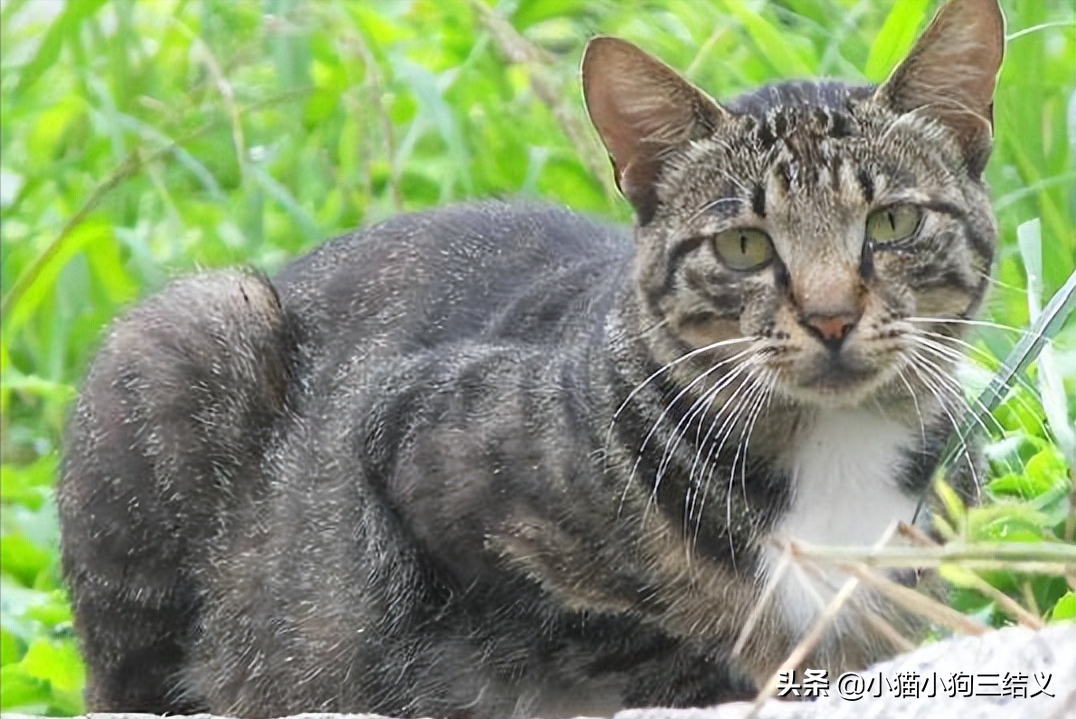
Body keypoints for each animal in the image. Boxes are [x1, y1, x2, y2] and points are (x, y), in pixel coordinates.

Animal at [56, 0, 998, 714]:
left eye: (892, 222)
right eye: (743, 245)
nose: (832, 316)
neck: (833, 451)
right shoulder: (412, 452)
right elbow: (629, 636)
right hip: (190, 333)